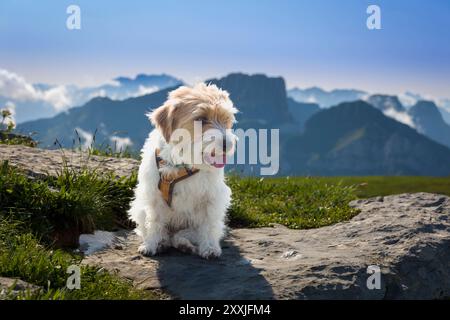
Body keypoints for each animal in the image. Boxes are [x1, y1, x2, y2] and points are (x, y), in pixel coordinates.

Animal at [127, 81, 239, 258]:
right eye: (201, 118)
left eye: (226, 119)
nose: (227, 144)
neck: (182, 162)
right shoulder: (153, 198)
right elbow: (154, 223)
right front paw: (150, 245)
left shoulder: (211, 199)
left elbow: (208, 226)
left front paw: (209, 248)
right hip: (138, 208)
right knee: (165, 234)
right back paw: (163, 243)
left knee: (183, 235)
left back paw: (184, 244)